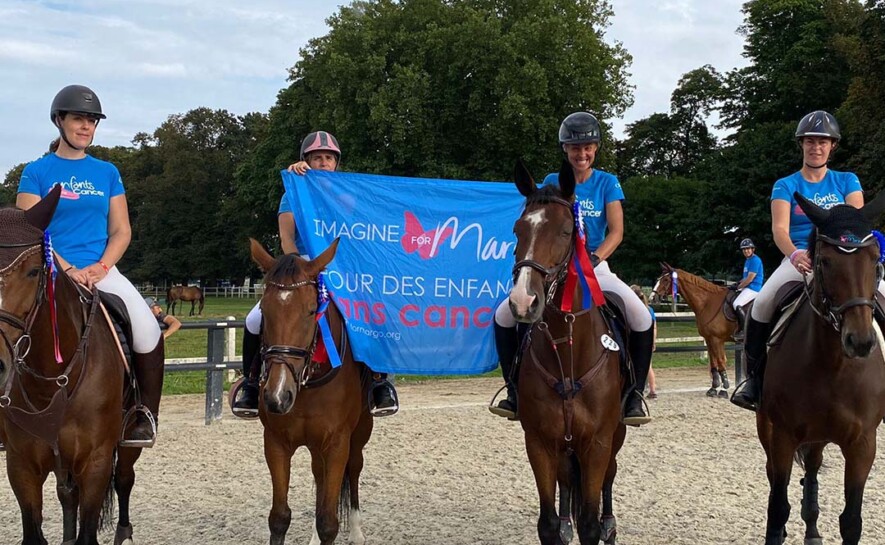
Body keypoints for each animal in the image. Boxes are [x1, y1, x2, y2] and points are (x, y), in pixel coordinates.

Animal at [0, 184, 151, 544]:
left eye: (33, 271)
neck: (51, 379)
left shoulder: (95, 462)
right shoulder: (21, 466)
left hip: (128, 440)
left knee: (124, 478)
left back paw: (124, 532)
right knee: (68, 494)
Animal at [249, 238, 372, 544]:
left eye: (309, 311)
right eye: (264, 311)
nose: (277, 396)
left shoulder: (338, 442)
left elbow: (328, 522)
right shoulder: (275, 442)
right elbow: (279, 518)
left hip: (360, 430)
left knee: (354, 468)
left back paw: (356, 531)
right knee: (320, 474)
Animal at [508, 162, 624, 544]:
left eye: (564, 231)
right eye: (517, 230)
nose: (523, 301)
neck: (567, 348)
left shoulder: (598, 443)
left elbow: (589, 522)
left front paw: (596, 525)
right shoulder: (539, 442)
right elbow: (547, 525)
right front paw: (560, 524)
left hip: (616, 436)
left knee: (609, 476)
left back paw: (610, 524)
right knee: (565, 479)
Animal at [652, 264, 736, 396]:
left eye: (665, 280)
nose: (652, 297)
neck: (707, 302)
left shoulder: (717, 340)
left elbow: (721, 361)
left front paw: (724, 390)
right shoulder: (710, 339)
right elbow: (714, 362)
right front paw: (713, 388)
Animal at [752, 192, 884, 544]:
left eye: (875, 260)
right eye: (824, 261)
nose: (860, 341)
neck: (832, 364)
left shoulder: (863, 443)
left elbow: (851, 521)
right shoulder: (782, 435)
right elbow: (776, 507)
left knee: (812, 466)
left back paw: (811, 528)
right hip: (768, 427)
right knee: (775, 477)